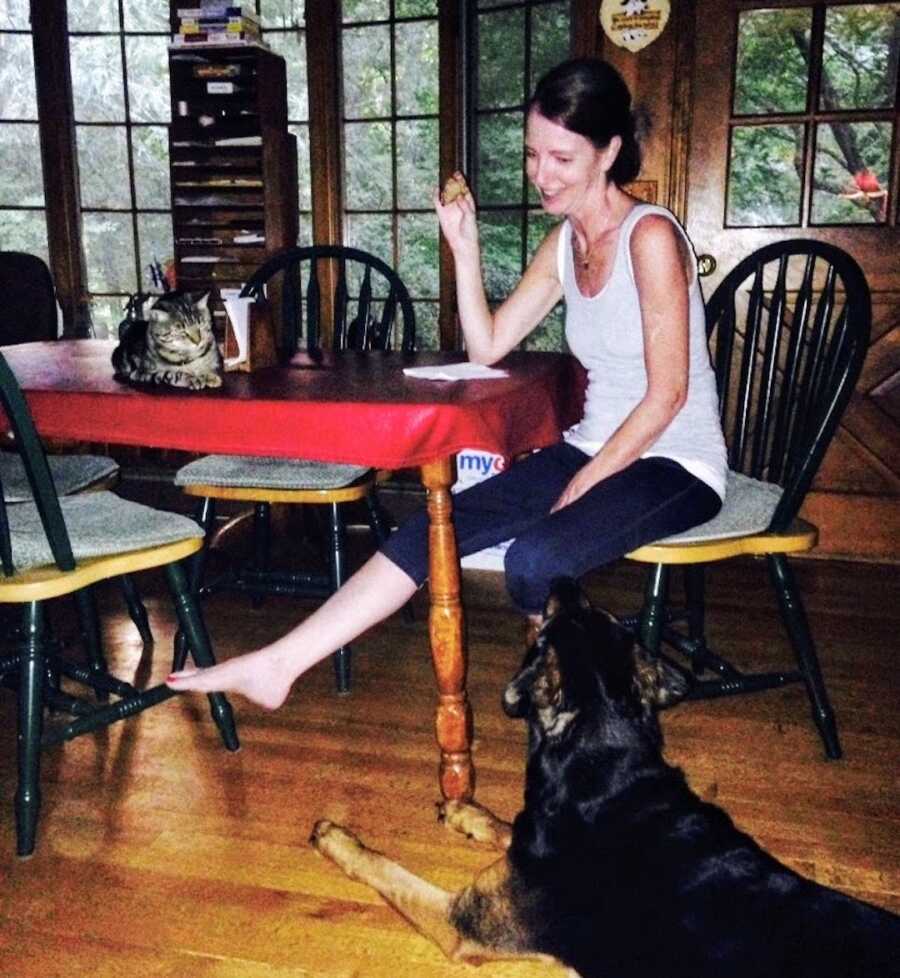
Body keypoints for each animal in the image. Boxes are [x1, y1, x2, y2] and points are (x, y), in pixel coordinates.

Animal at [312, 576, 900, 972]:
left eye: (549, 631)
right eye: (612, 620)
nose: (564, 580)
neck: (605, 758)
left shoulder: (461, 919)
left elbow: (386, 867)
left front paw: (339, 839)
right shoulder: (528, 839)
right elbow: (507, 827)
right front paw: (466, 812)